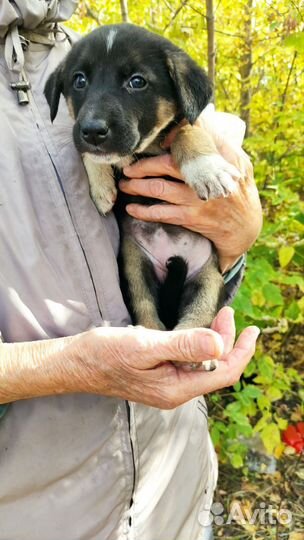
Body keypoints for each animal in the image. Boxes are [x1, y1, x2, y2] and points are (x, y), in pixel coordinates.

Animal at [45, 24, 240, 342]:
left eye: (137, 82)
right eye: (79, 80)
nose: (92, 130)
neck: (146, 149)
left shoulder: (191, 123)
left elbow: (188, 131)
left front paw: (207, 168)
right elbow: (90, 154)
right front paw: (101, 188)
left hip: (209, 279)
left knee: (197, 317)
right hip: (135, 267)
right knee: (147, 309)